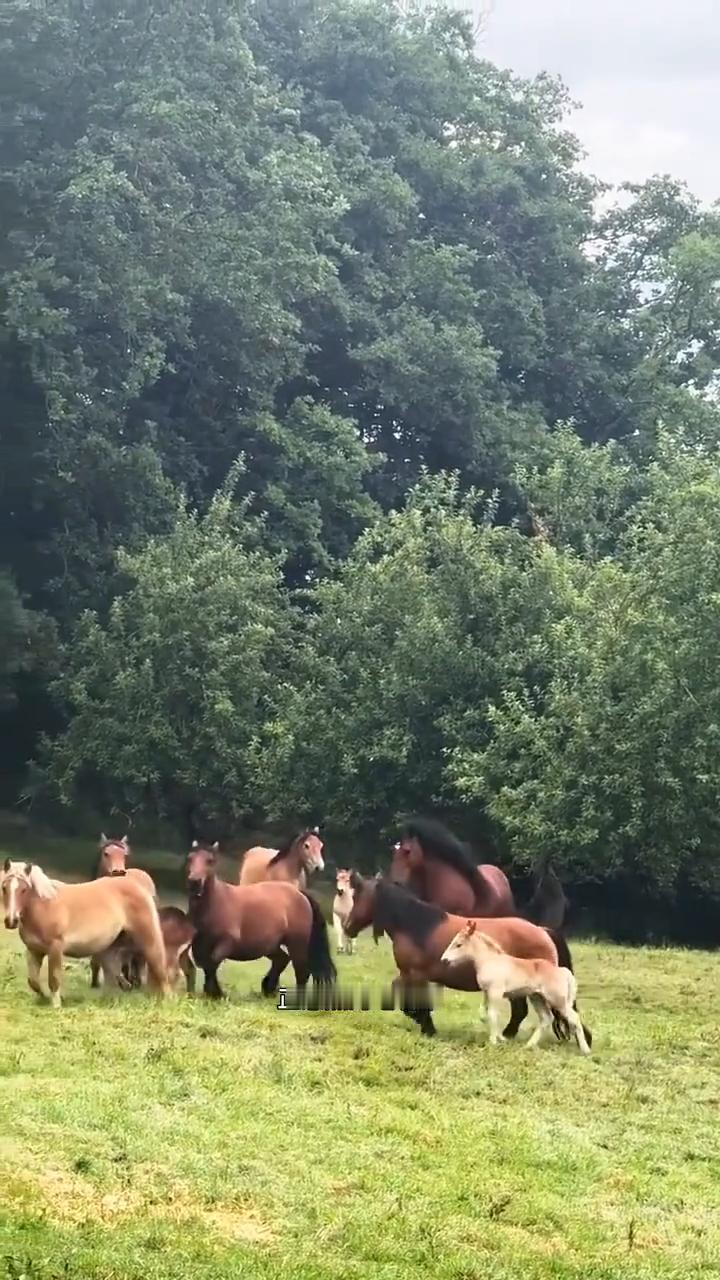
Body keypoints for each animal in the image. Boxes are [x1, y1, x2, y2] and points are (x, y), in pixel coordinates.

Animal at [1, 860, 169, 1007]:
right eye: (4, 887)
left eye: (24, 889)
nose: (11, 921)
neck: (45, 905)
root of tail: (137, 883)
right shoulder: (34, 950)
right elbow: (33, 981)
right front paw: (44, 997)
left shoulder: (55, 949)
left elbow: (54, 979)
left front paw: (56, 1005)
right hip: (111, 948)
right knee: (115, 977)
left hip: (148, 938)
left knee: (159, 967)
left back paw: (165, 1001)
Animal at [187, 843, 336, 999]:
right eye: (190, 858)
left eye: (210, 861)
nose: (194, 882)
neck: (215, 902)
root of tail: (300, 894)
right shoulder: (199, 946)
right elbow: (207, 966)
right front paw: (213, 993)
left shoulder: (227, 942)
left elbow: (212, 963)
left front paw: (216, 993)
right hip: (270, 945)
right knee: (282, 959)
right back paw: (268, 988)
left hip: (297, 944)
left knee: (301, 973)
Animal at [441, 920, 591, 1054]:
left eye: (458, 944)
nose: (444, 960)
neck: (491, 961)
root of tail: (563, 971)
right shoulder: (487, 992)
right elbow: (484, 1014)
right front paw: (502, 1038)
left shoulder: (496, 992)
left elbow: (492, 1014)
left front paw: (493, 1042)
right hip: (537, 998)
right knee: (546, 1019)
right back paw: (528, 1045)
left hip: (557, 1000)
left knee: (574, 1018)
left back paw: (585, 1050)